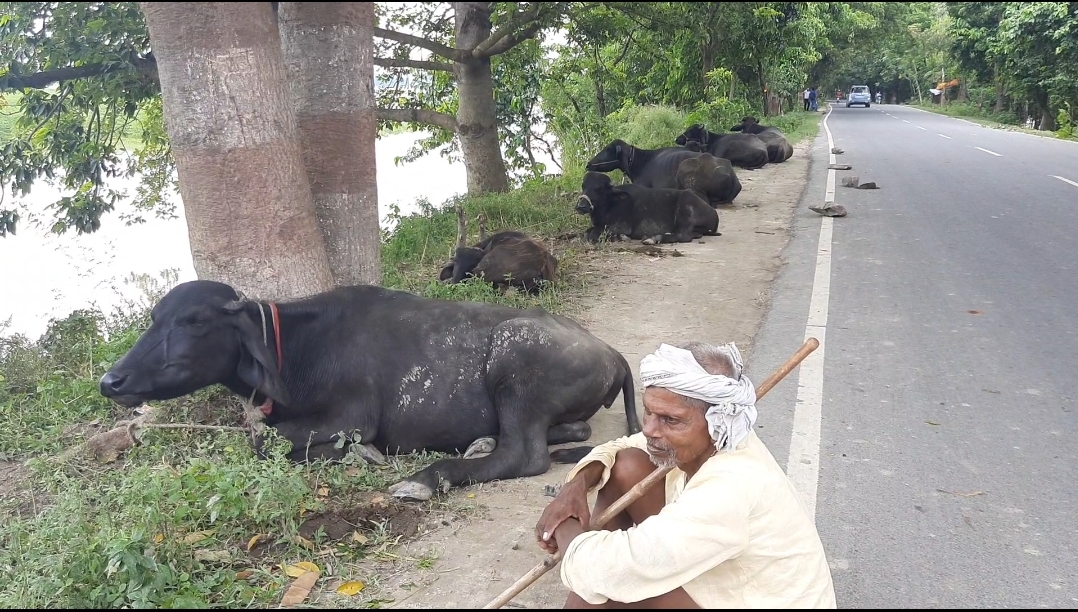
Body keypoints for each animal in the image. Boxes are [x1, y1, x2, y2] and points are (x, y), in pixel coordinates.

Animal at [99, 282, 638, 502]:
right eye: (154, 318)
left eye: (193, 320)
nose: (111, 381)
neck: (299, 351)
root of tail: (611, 353)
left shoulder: (351, 419)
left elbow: (267, 444)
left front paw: (364, 456)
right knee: (566, 430)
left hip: (512, 363)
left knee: (524, 455)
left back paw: (426, 478)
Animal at [577, 171, 720, 244]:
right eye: (583, 186)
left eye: (599, 189)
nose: (581, 206)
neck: (610, 204)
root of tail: (714, 213)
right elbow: (589, 231)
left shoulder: (622, 226)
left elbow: (592, 233)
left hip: (685, 210)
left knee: (684, 235)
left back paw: (653, 238)